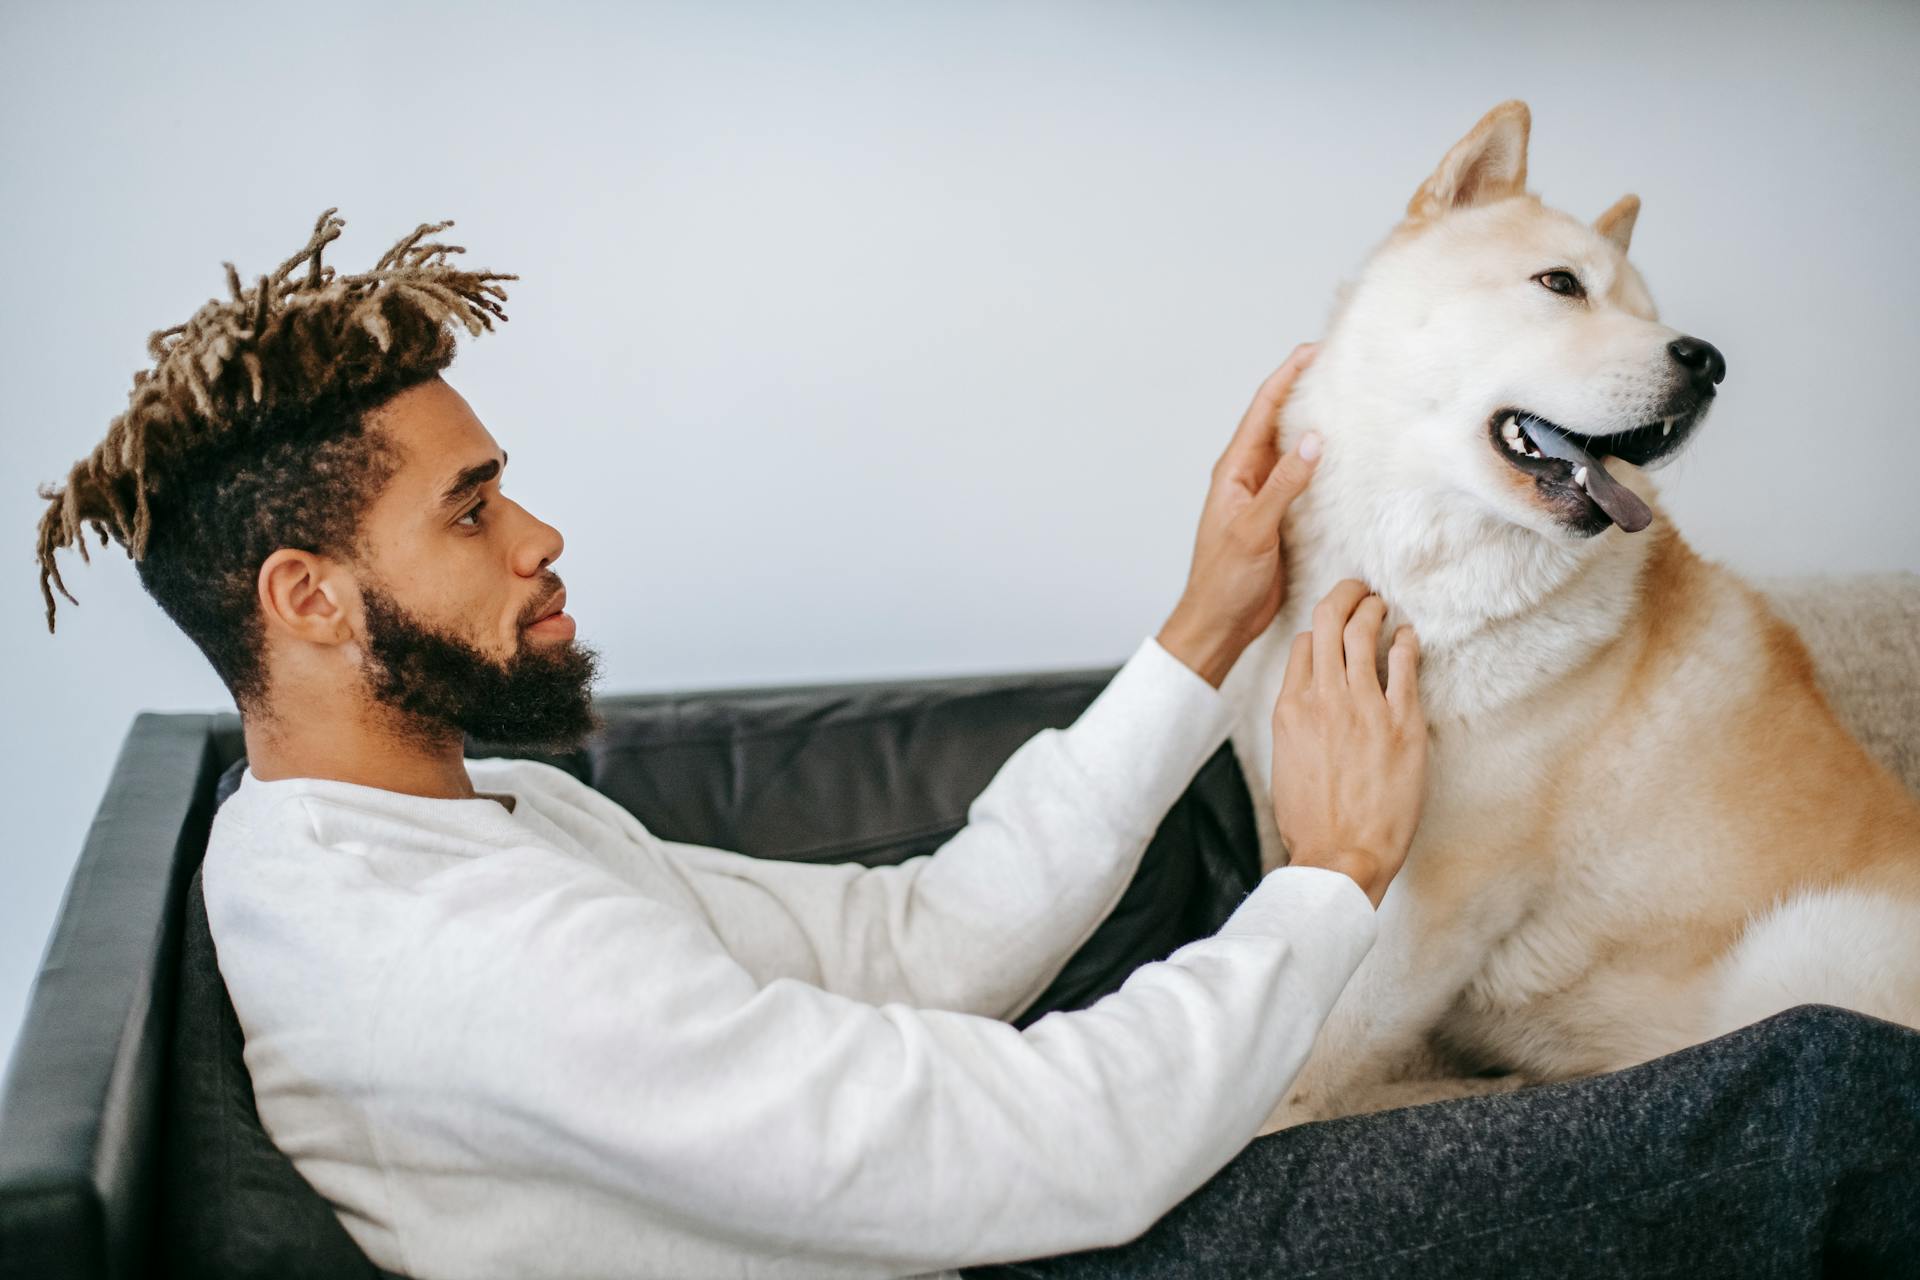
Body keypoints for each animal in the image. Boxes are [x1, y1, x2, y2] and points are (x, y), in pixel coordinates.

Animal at [1221, 105, 1920, 1136]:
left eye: (1651, 312)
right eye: (1561, 285)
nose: (1708, 362)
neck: (1419, 583)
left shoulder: (1432, 906)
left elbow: (1309, 1057)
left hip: (1805, 938)